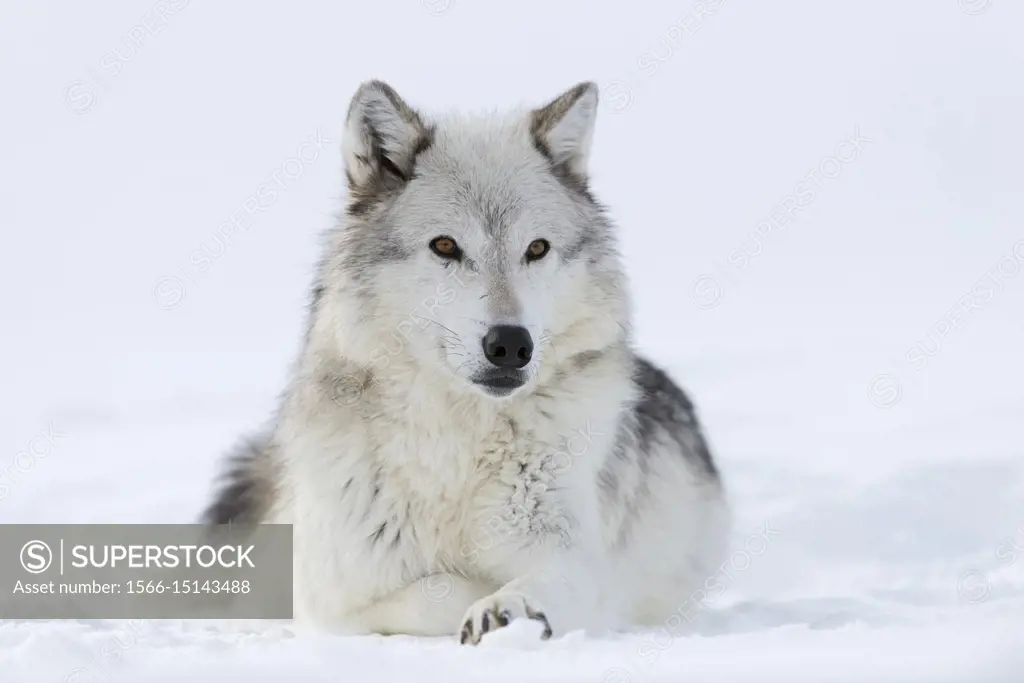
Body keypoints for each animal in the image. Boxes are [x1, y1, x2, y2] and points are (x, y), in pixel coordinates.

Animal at [201, 80, 729, 647]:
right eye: (445, 246)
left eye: (536, 249)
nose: (511, 345)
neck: (458, 445)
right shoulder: (332, 598)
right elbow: (439, 589)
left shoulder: (577, 558)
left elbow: (543, 582)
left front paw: (509, 608)